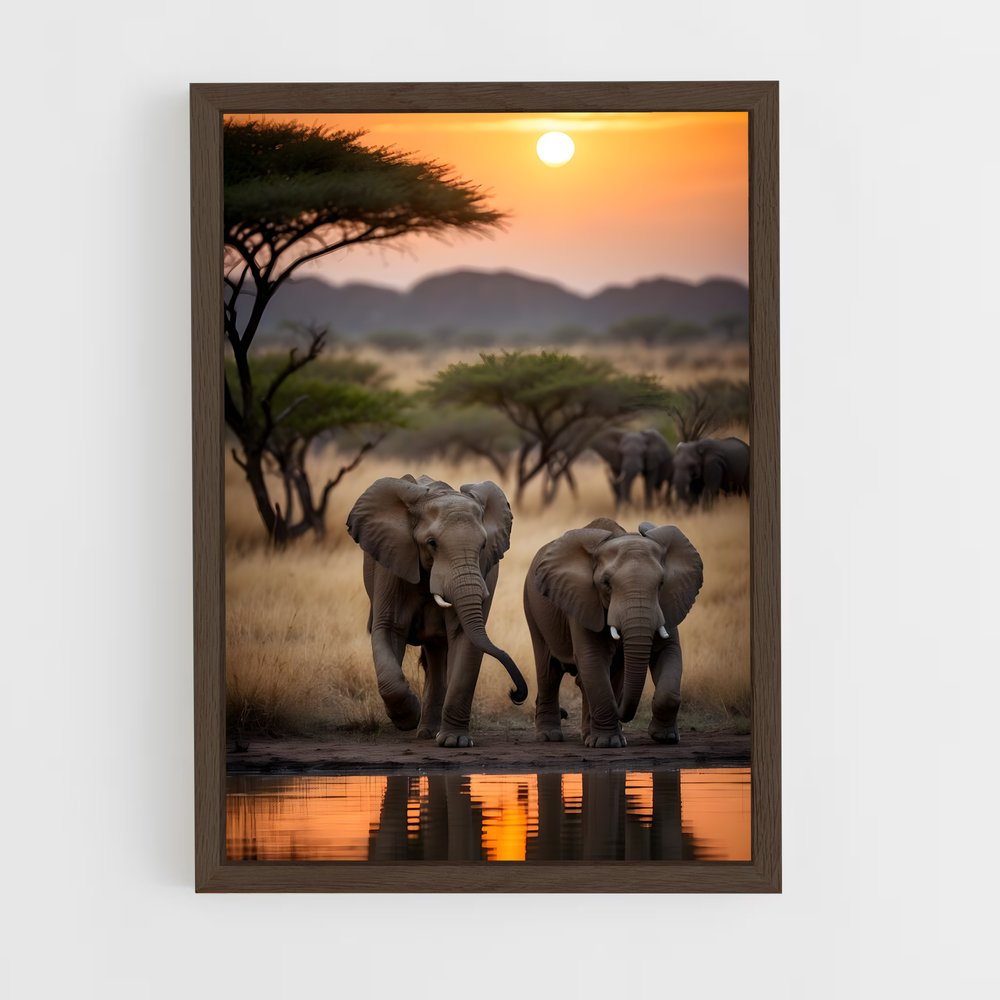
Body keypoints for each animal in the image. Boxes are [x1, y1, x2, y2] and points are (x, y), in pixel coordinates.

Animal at [346, 474, 528, 747]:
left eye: (483, 545)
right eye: (432, 543)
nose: (515, 693)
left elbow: (465, 639)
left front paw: (454, 741)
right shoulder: (391, 565)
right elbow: (387, 630)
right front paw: (407, 716)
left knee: (436, 653)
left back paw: (430, 732)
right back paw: (423, 730)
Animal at [523, 517, 703, 748]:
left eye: (662, 583)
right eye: (606, 583)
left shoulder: (668, 603)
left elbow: (669, 653)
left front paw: (666, 738)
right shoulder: (583, 599)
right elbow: (592, 658)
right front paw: (607, 743)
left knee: (610, 674)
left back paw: (588, 734)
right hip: (532, 607)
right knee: (549, 672)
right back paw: (550, 737)